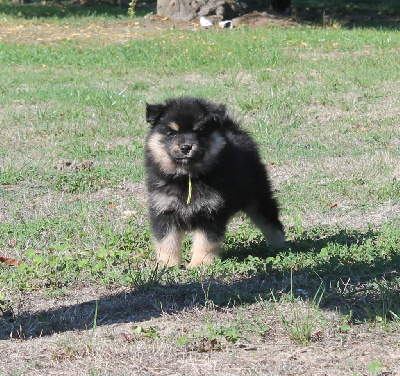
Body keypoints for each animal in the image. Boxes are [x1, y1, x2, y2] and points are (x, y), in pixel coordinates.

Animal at [144, 97, 284, 268]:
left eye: (199, 132)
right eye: (172, 133)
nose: (186, 147)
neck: (188, 177)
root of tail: (235, 131)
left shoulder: (211, 211)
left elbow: (205, 241)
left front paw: (199, 264)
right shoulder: (164, 208)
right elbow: (167, 241)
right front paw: (167, 264)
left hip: (257, 195)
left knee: (269, 220)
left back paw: (279, 245)